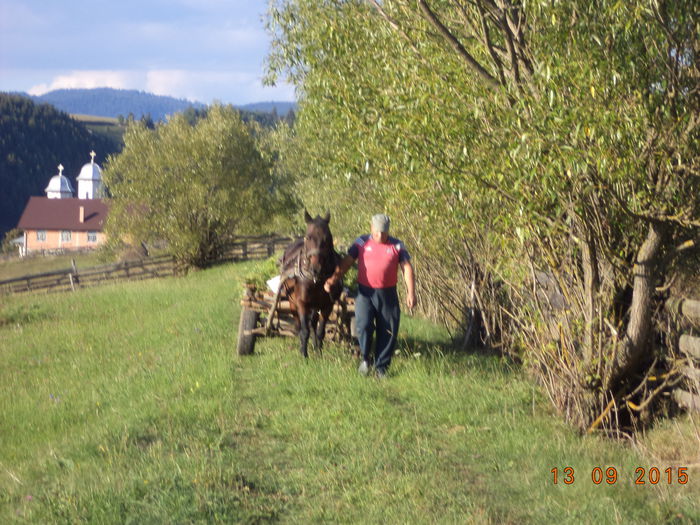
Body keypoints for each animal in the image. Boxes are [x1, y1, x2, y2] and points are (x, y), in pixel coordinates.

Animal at [280, 209, 344, 356]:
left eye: (328, 238)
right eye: (308, 237)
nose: (316, 268)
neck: (316, 280)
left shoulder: (327, 305)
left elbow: (320, 330)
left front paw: (319, 352)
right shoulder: (302, 303)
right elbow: (304, 330)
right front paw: (304, 354)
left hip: (315, 305)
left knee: (314, 323)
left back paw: (315, 346)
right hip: (292, 303)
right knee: (299, 324)